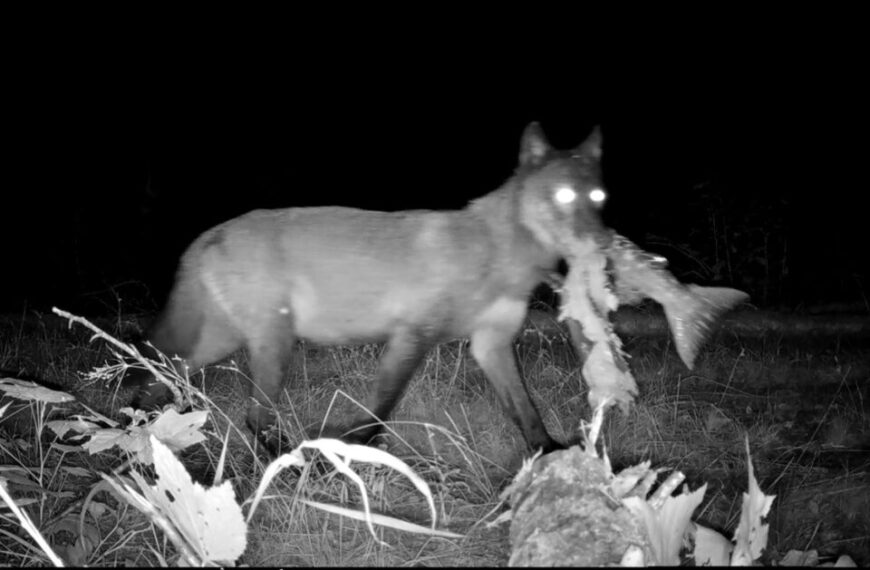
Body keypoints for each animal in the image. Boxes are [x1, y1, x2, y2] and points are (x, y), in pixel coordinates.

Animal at [123, 123, 610, 454]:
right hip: (273, 344)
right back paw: (294, 463)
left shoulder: (491, 345)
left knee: (159, 378)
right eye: (564, 197)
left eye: (599, 198)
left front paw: (551, 454)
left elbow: (527, 414)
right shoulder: (411, 338)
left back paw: (138, 435)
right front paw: (346, 447)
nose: (601, 242)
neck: (498, 255)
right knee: (253, 415)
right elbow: (380, 410)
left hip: (221, 345)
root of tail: (210, 234)